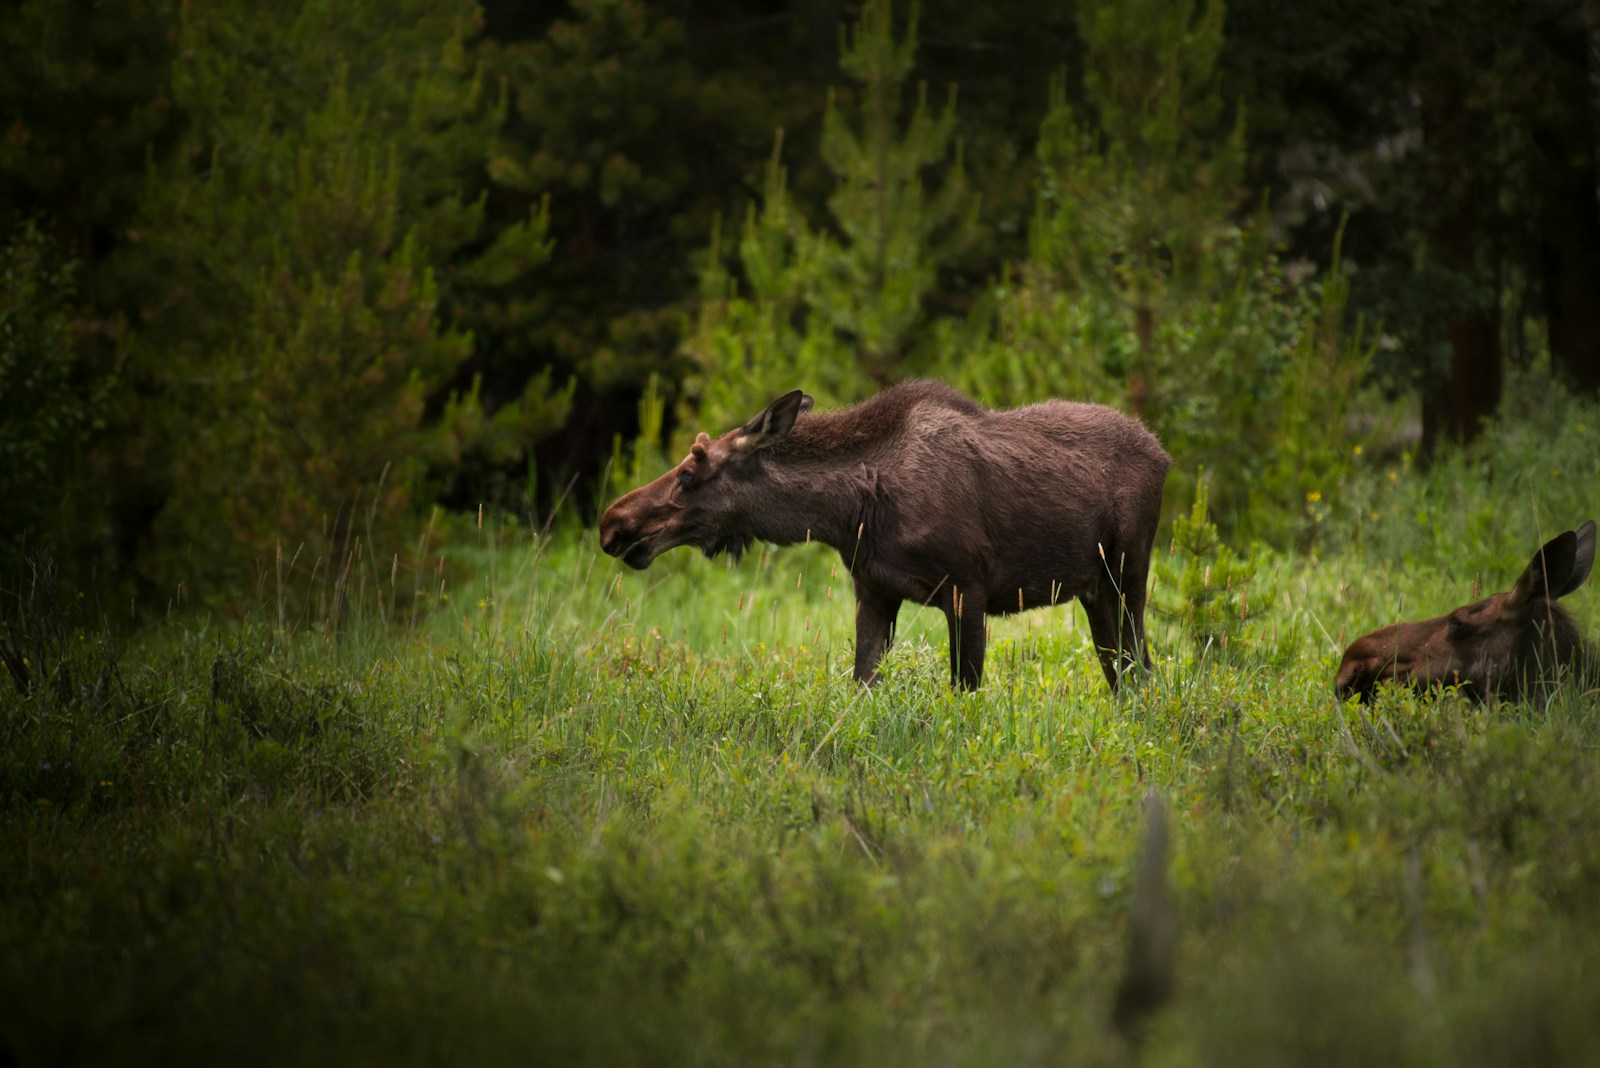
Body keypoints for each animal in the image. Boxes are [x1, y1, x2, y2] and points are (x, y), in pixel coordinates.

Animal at [601, 383, 1177, 693]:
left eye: (689, 474)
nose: (613, 525)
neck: (850, 512)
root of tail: (1164, 454)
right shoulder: (874, 590)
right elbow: (863, 684)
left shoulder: (967, 590)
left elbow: (964, 690)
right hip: (1094, 589)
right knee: (1123, 675)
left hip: (1128, 573)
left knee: (1142, 670)